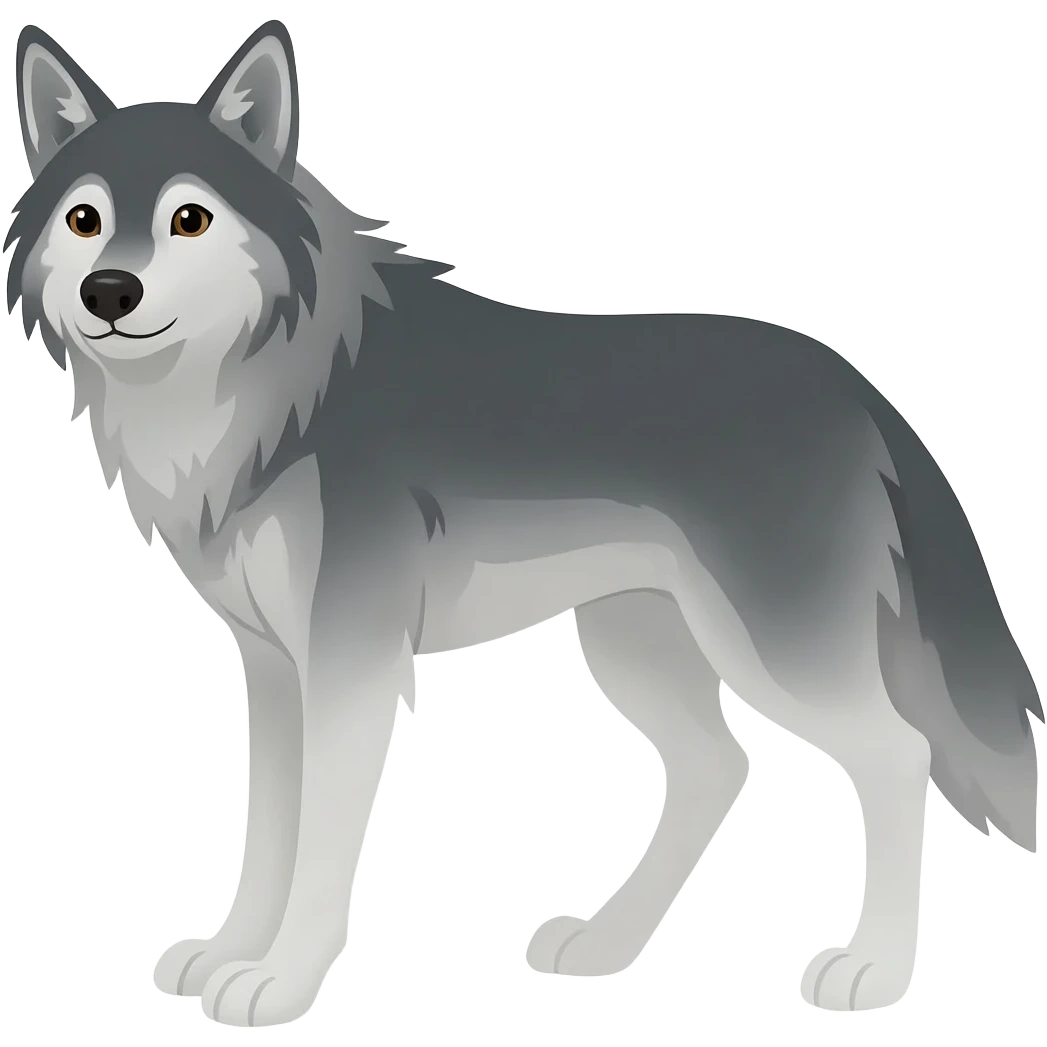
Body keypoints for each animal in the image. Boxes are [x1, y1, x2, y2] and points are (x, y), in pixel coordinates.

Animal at [6, 16, 1041, 1026]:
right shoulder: (271, 668)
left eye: (189, 219)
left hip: (778, 655)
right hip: (633, 646)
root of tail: (858, 388)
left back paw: (873, 970)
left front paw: (281, 982)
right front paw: (229, 952)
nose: (109, 292)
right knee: (718, 768)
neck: (280, 390)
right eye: (85, 219)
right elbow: (267, 833)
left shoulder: (351, 665)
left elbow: (321, 845)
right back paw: (605, 942)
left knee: (897, 755)